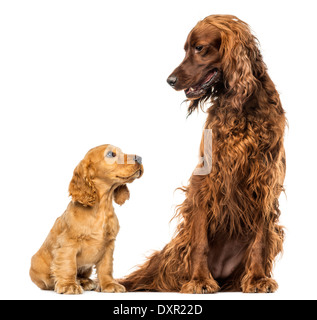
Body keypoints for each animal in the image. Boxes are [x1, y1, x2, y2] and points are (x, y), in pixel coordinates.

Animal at [29, 145, 143, 296]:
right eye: (110, 154)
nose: (140, 158)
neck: (102, 208)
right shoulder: (68, 244)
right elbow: (68, 265)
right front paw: (69, 285)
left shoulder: (108, 245)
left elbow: (106, 267)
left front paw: (109, 284)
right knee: (49, 279)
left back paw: (85, 282)